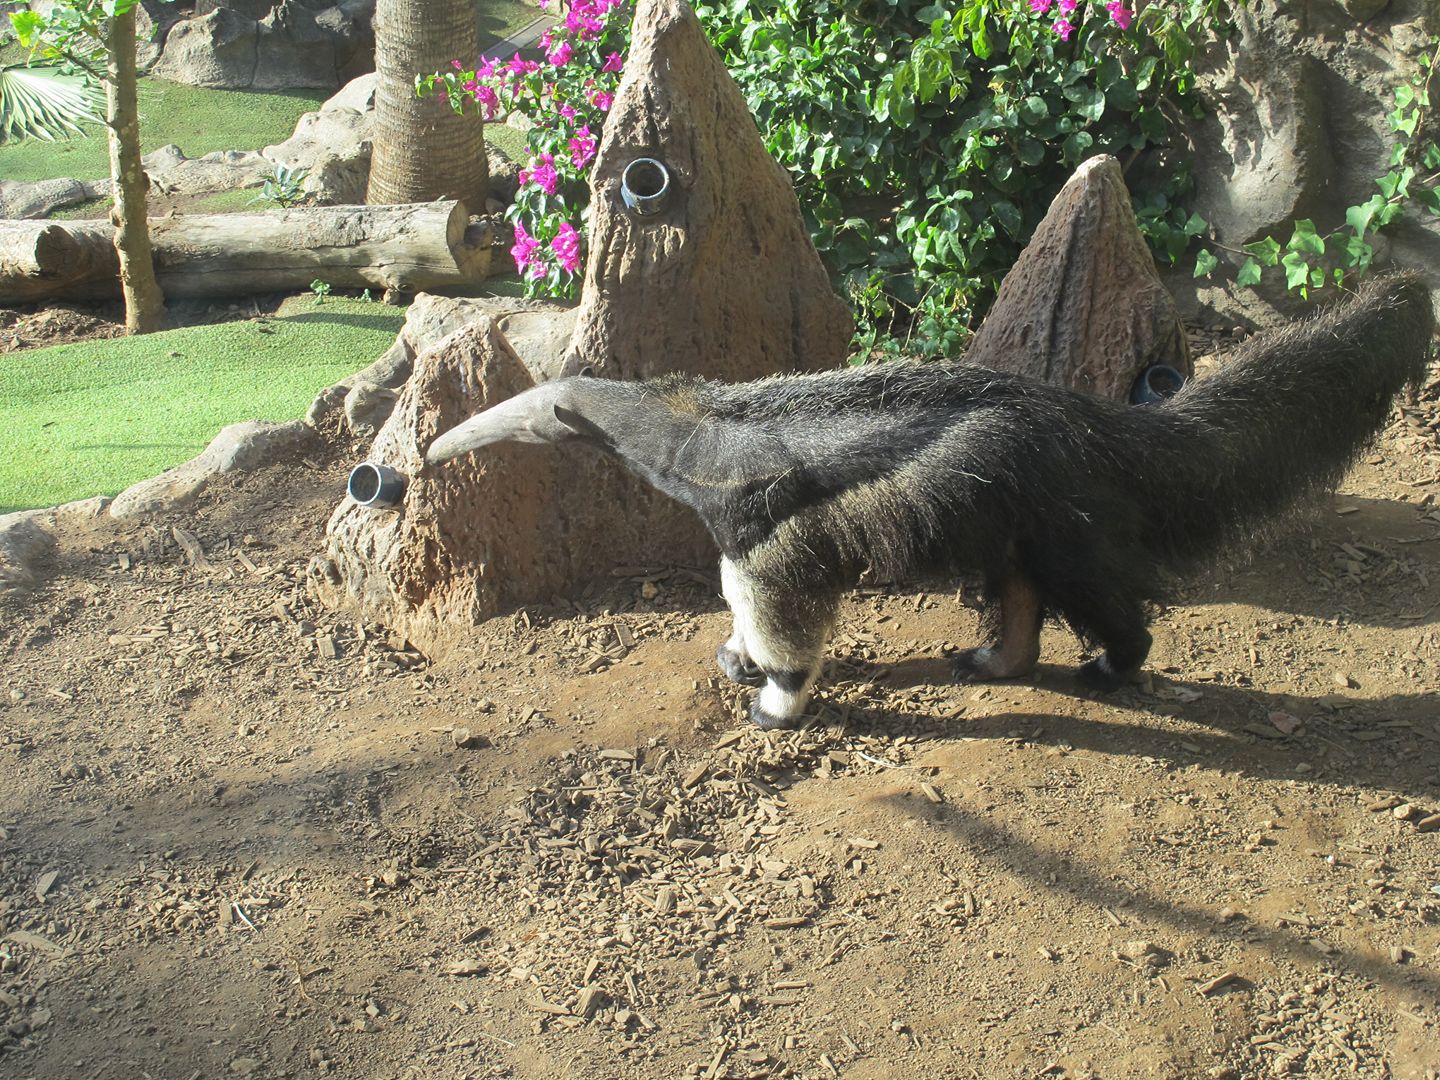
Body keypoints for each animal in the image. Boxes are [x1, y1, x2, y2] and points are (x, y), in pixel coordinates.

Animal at [426, 273, 1435, 730]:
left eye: (535, 420)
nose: (427, 458)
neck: (697, 431)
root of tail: (1098, 426)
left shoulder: (772, 517)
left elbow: (772, 597)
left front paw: (775, 696)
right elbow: (734, 593)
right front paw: (736, 658)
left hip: (1051, 503)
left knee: (1096, 593)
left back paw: (1112, 664)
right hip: (1014, 513)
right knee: (1022, 589)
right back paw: (998, 658)